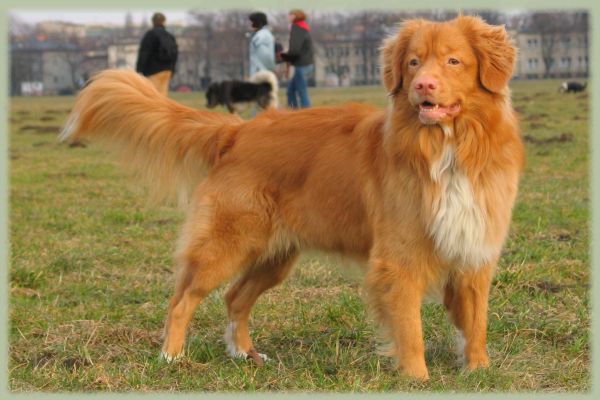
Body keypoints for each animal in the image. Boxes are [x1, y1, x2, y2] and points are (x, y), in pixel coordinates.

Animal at [58, 15, 524, 380]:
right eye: (413, 62)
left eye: (453, 61)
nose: (423, 84)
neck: (448, 147)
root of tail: (238, 131)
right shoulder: (400, 259)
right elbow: (410, 329)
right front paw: (418, 378)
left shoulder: (474, 250)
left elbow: (475, 322)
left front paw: (479, 371)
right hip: (226, 244)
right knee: (182, 299)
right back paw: (171, 356)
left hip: (275, 256)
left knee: (234, 297)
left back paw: (244, 354)